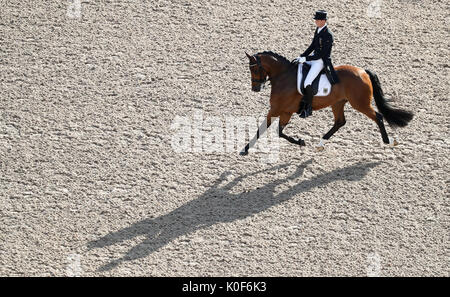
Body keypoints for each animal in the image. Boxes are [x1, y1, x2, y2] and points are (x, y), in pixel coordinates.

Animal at [241, 50, 414, 155]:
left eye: (254, 69)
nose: (255, 88)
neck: (283, 77)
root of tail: (363, 71)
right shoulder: (283, 112)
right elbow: (274, 131)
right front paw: (300, 141)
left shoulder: (279, 110)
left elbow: (267, 130)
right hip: (338, 103)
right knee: (340, 122)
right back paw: (320, 143)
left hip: (360, 104)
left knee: (377, 117)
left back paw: (388, 142)